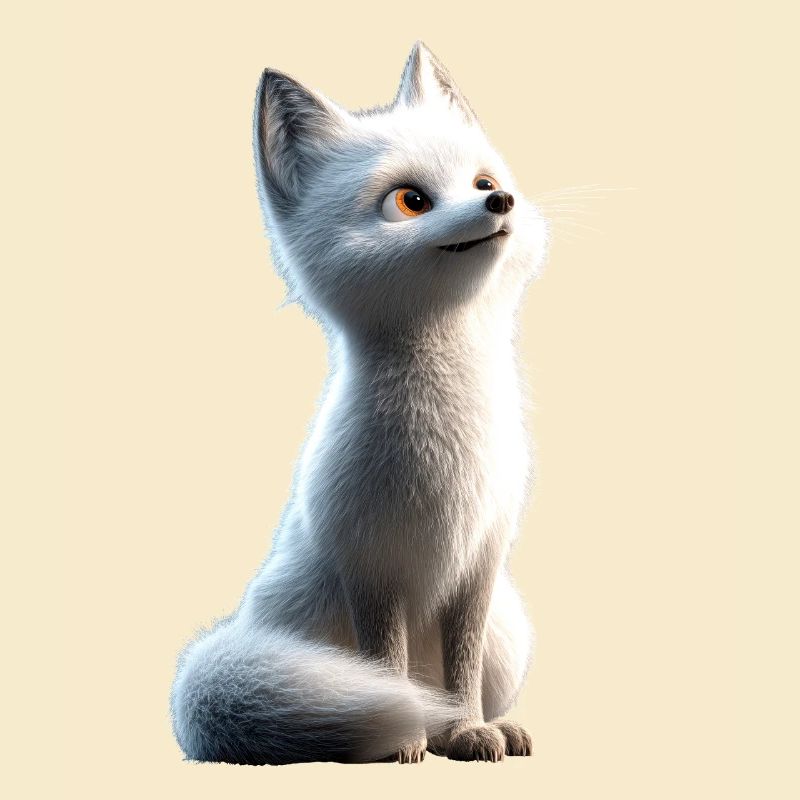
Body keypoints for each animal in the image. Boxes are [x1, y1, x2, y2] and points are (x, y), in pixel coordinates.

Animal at [170, 41, 548, 765]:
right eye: (411, 200)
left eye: (482, 182)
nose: (502, 201)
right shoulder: (371, 566)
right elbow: (386, 664)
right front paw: (412, 739)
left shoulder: (481, 562)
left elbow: (459, 669)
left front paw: (466, 730)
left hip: (508, 632)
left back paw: (497, 726)